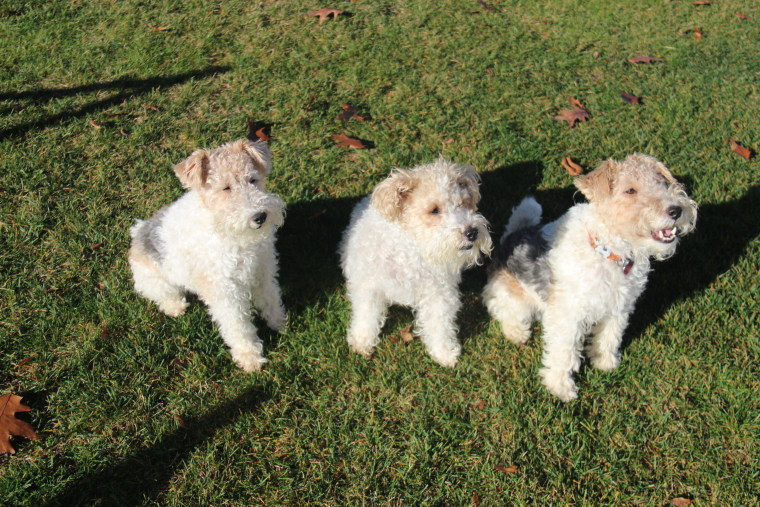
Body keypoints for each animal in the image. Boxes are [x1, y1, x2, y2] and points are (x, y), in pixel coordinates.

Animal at [129, 139, 286, 374]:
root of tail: (137, 232)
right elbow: (238, 326)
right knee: (165, 296)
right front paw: (249, 357)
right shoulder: (224, 290)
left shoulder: (263, 269)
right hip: (156, 280)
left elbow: (270, 299)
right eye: (225, 188)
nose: (260, 216)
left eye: (253, 179)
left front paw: (279, 322)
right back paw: (176, 308)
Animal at [338, 158, 492, 366]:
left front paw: (444, 352)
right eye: (434, 210)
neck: (411, 248)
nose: (472, 232)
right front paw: (362, 341)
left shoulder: (439, 293)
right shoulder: (369, 285)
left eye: (463, 203)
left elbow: (439, 324)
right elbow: (366, 314)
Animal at [484, 153, 696, 402]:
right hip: (515, 297)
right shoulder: (568, 315)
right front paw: (561, 388)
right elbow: (564, 353)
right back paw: (518, 333)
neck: (608, 251)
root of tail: (511, 237)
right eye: (630, 190)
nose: (676, 210)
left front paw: (605, 362)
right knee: (504, 312)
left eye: (661, 182)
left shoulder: (619, 307)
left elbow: (609, 337)